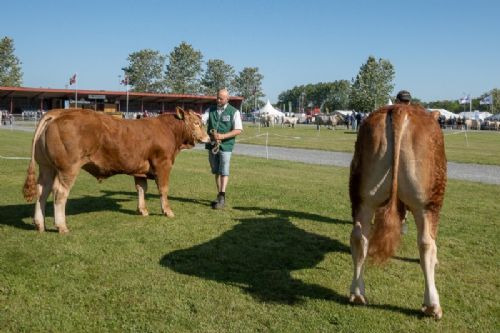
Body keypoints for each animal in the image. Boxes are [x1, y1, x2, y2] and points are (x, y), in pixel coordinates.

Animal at [23, 107, 209, 232]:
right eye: (197, 123)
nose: (208, 138)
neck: (169, 131)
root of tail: (59, 112)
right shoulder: (163, 164)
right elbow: (163, 189)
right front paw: (168, 211)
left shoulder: (140, 169)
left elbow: (141, 188)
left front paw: (142, 210)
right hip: (68, 168)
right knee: (59, 192)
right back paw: (61, 226)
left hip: (47, 166)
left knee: (42, 190)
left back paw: (39, 224)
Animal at [350, 104, 448, 320]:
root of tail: (399, 109)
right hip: (428, 202)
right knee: (427, 243)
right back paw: (432, 305)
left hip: (362, 196)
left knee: (360, 238)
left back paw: (358, 294)